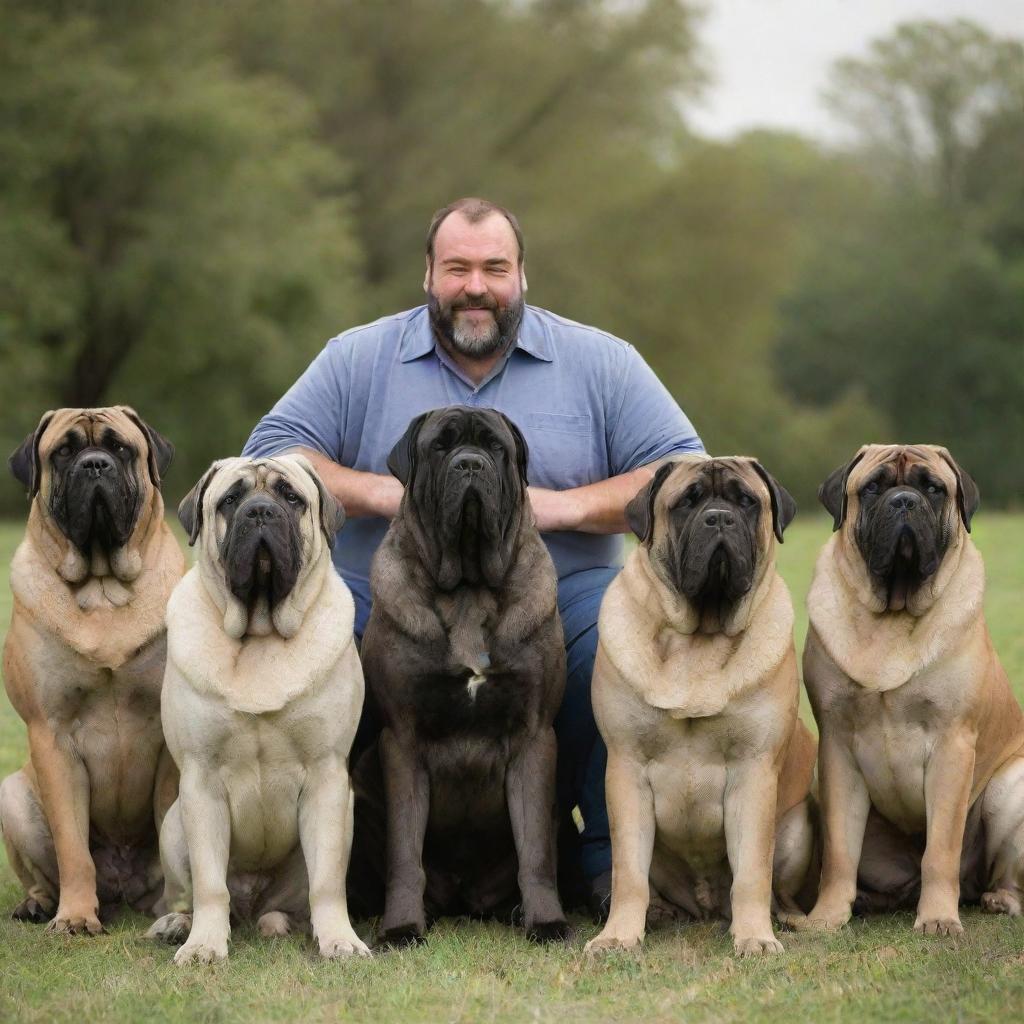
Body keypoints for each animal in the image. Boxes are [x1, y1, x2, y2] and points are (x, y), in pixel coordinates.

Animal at [1, 403, 184, 933]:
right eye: (62, 452)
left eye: (120, 447)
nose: (95, 465)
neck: (104, 589)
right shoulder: (51, 734)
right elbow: (72, 847)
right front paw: (76, 917)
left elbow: (172, 822)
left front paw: (179, 912)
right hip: (12, 796)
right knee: (45, 874)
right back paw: (39, 904)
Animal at [144, 458, 368, 966]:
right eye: (230, 499)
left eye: (291, 497)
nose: (260, 511)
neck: (261, 635)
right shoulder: (200, 781)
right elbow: (210, 884)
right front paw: (204, 945)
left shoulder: (327, 778)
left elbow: (328, 883)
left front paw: (340, 940)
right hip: (174, 827)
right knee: (191, 893)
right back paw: (178, 925)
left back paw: (283, 924)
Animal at [356, 405, 573, 942]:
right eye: (441, 446)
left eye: (495, 446)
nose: (470, 464)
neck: (469, 588)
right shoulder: (402, 741)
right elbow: (404, 852)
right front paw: (401, 927)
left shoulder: (534, 736)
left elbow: (535, 850)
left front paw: (547, 922)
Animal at [585, 460, 815, 954]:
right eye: (686, 502)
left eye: (746, 501)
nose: (719, 518)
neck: (698, 640)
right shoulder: (627, 770)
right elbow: (628, 872)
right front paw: (618, 936)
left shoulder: (753, 772)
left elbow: (751, 872)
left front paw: (755, 937)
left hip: (797, 826)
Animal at [790, 442, 1024, 937]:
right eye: (873, 487)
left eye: (933, 488)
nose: (903, 501)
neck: (893, 615)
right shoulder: (837, 748)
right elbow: (840, 852)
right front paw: (826, 917)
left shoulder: (953, 744)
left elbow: (940, 850)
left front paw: (938, 919)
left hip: (1010, 788)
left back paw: (1000, 899)